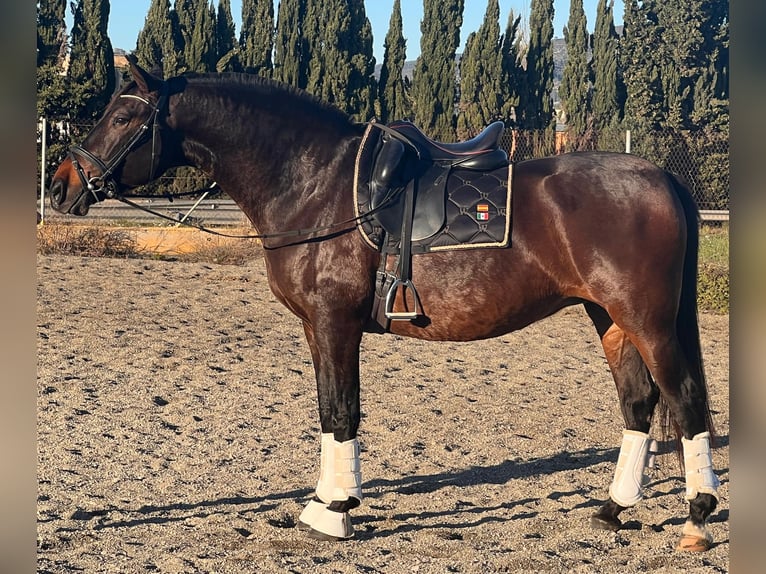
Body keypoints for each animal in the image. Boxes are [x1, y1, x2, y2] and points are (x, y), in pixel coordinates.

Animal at [48, 58, 720, 552]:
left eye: (122, 116)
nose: (61, 185)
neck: (315, 183)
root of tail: (661, 177)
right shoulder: (317, 329)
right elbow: (327, 411)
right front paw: (324, 503)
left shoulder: (335, 322)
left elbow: (343, 411)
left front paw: (335, 513)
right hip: (608, 317)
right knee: (638, 403)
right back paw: (612, 509)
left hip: (648, 320)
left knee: (686, 400)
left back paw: (696, 517)